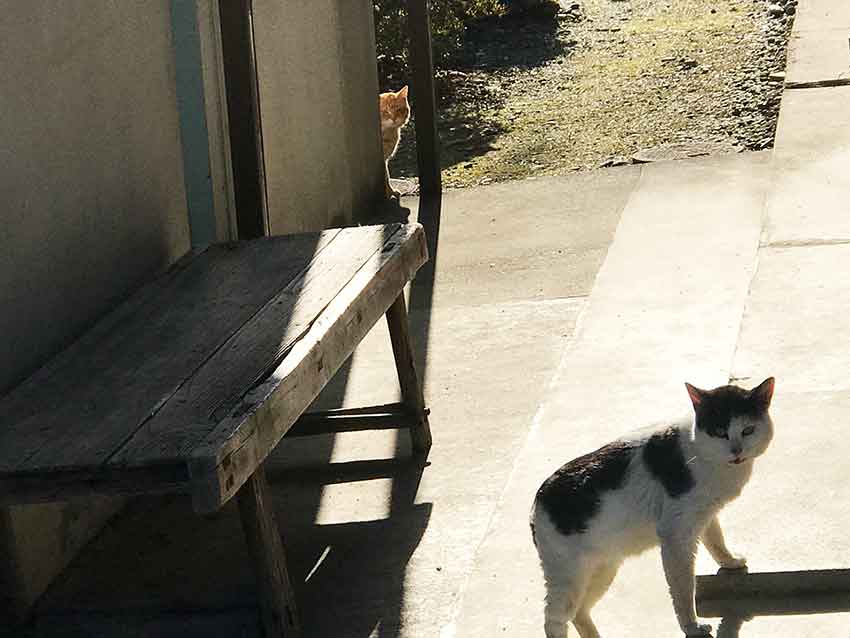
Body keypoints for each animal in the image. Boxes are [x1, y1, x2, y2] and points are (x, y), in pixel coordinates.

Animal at [531, 377, 775, 638]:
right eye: (720, 433)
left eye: (748, 430)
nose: (737, 451)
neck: (701, 454)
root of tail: (538, 499)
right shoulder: (676, 536)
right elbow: (683, 588)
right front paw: (692, 626)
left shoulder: (705, 517)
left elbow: (716, 541)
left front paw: (730, 562)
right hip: (568, 577)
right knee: (554, 619)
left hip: (602, 569)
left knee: (579, 612)